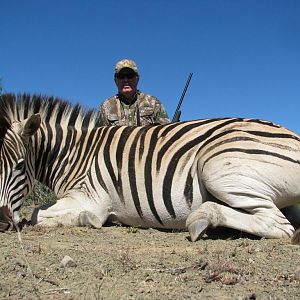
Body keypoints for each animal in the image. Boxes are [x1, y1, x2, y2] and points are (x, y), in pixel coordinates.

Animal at [0, 93, 298, 241]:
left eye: (19, 166)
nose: (2, 222)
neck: (74, 153)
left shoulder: (90, 198)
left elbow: (37, 214)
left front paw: (90, 220)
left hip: (215, 167)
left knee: (279, 226)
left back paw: (202, 220)